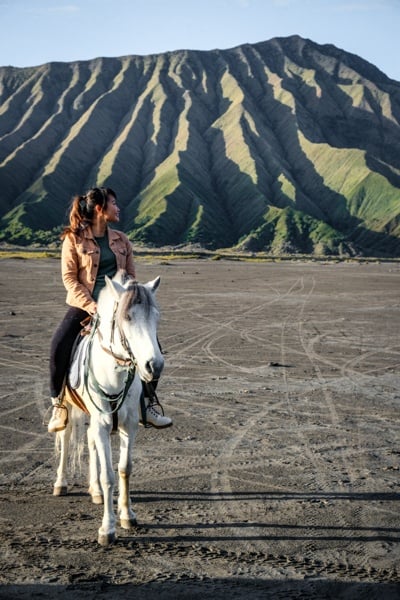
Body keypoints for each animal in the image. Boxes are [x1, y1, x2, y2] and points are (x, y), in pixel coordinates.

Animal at [52, 270, 163, 548]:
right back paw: (61, 483)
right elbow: (109, 476)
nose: (154, 366)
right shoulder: (103, 422)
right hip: (68, 407)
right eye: (127, 317)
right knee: (66, 438)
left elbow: (124, 469)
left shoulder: (128, 424)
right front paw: (107, 529)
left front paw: (127, 515)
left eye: (156, 316)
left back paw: (95, 491)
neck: (114, 372)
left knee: (91, 442)